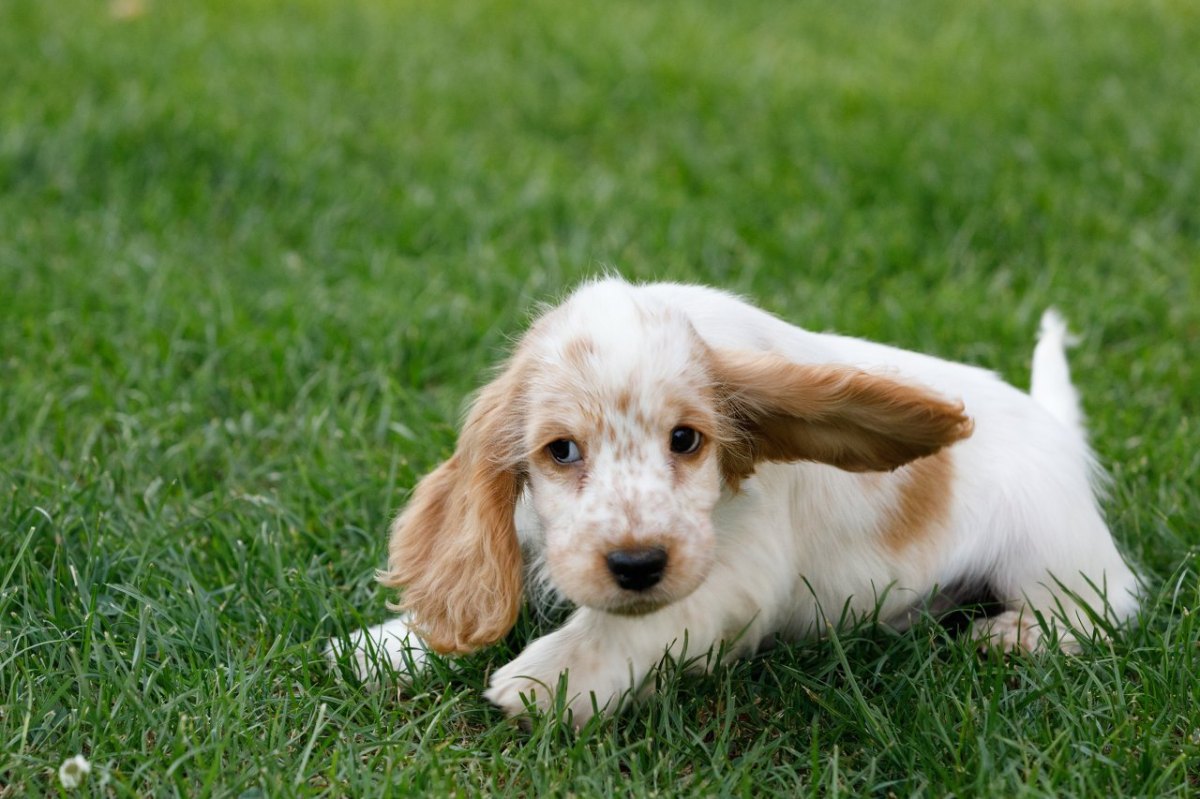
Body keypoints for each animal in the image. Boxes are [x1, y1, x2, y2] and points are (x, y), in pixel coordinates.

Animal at [326, 277, 1132, 724]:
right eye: (561, 450)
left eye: (687, 439)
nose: (636, 562)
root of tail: (1054, 425)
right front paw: (382, 646)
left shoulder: (741, 568)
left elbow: (638, 622)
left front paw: (549, 678)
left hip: (1051, 550)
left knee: (1107, 605)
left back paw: (1012, 635)